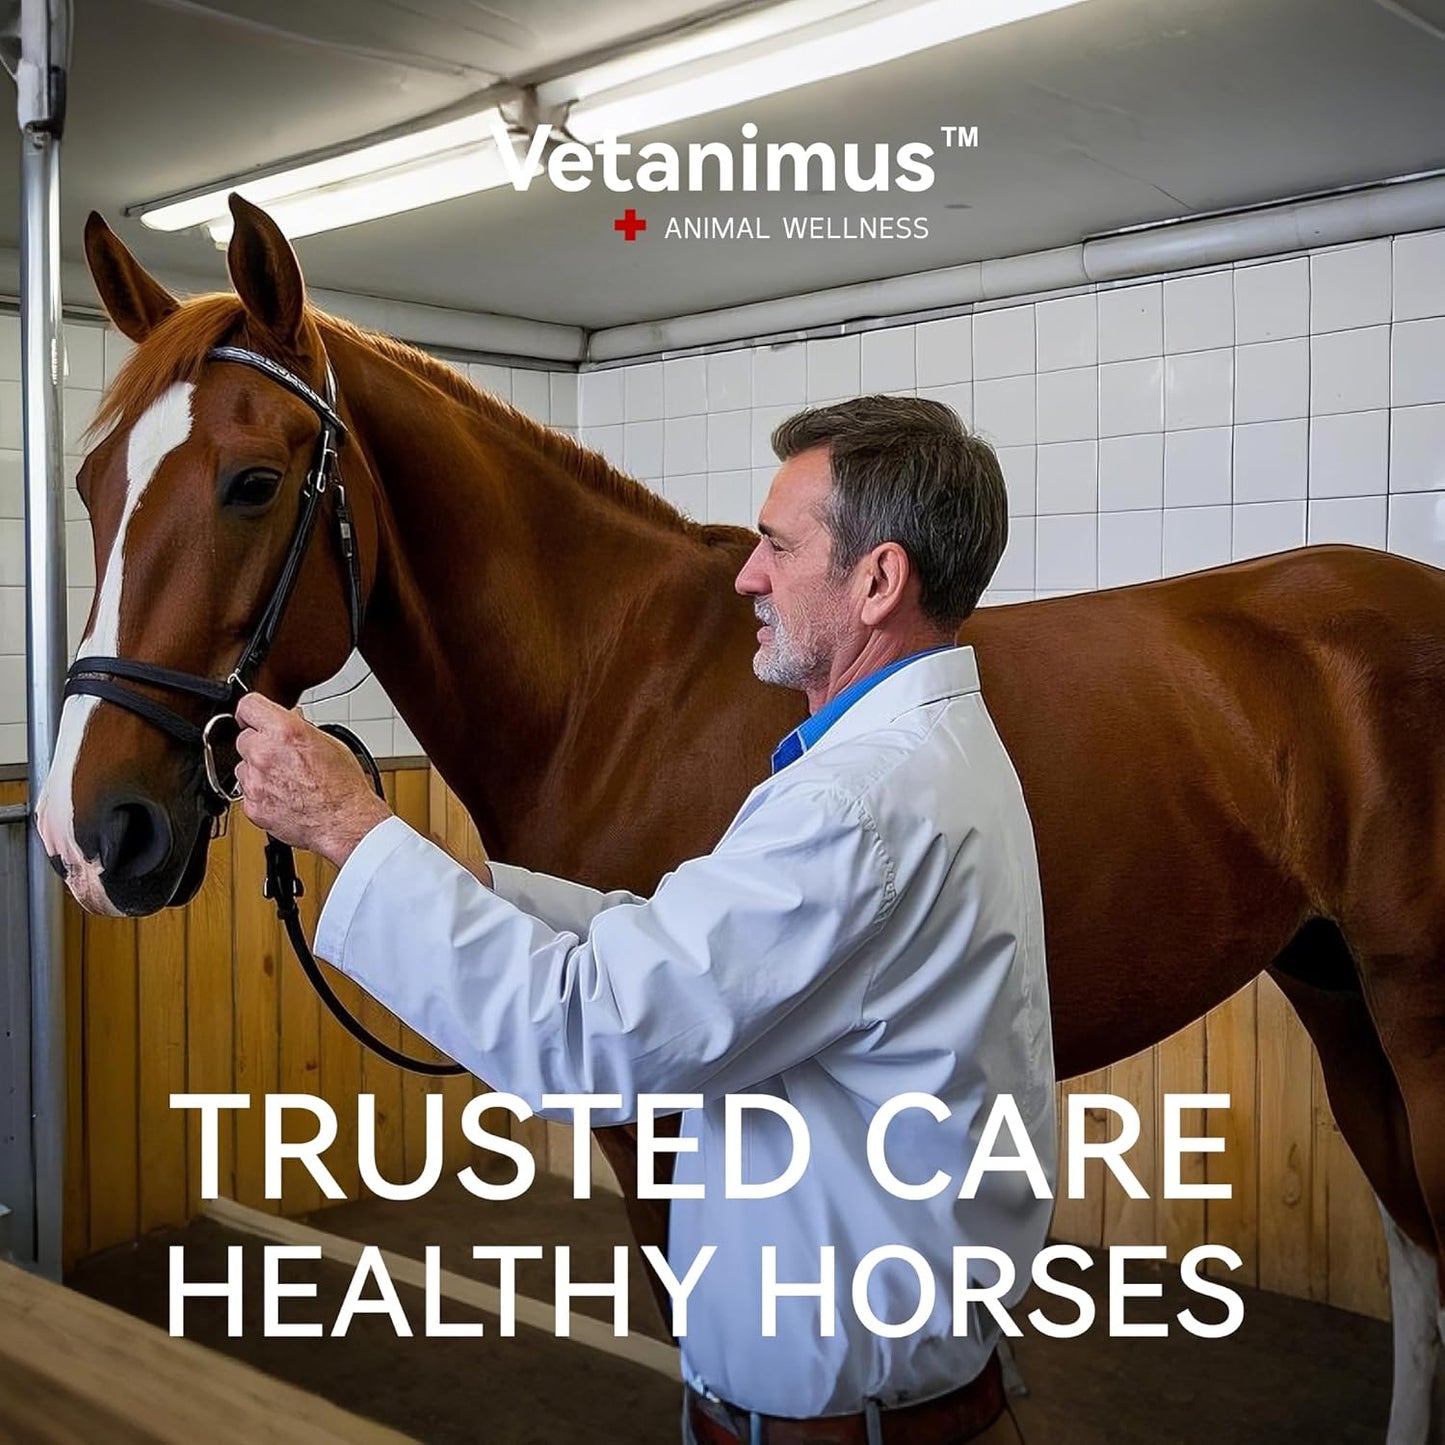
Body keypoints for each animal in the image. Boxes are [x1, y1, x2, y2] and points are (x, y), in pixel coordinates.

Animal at [37, 196, 1445, 1441]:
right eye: (91, 483)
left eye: (252, 482)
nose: (85, 835)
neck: (615, 680)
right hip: (1333, 992)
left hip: (1412, 1011)